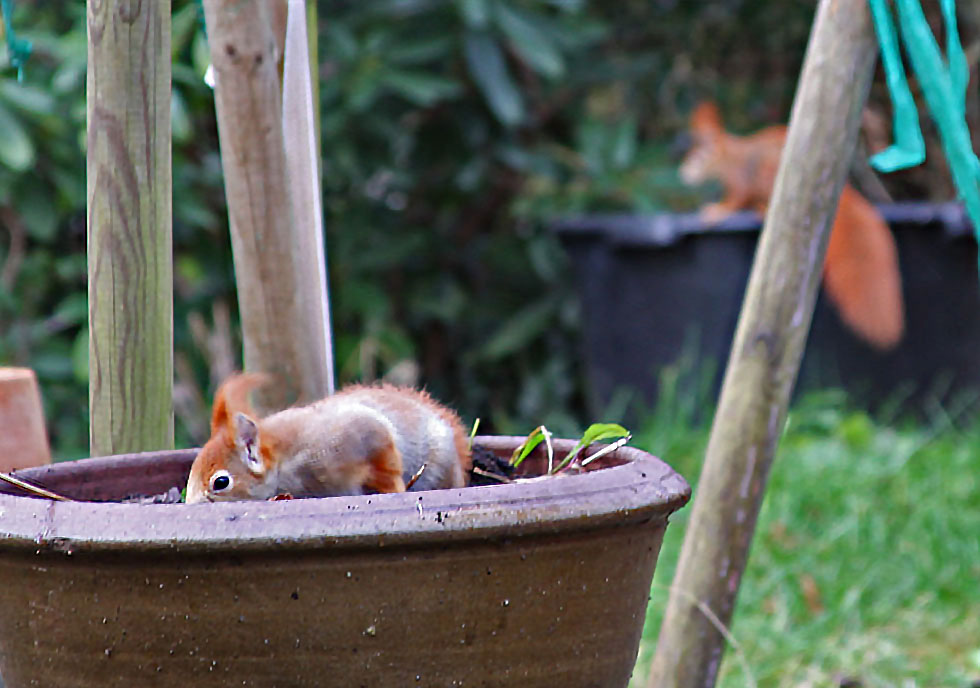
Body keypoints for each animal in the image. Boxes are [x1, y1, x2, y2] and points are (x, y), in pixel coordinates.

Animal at [189, 374, 474, 502]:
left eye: (221, 482)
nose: (192, 504)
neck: (286, 463)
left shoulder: (366, 433)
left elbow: (386, 466)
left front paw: (392, 490)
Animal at [680, 102, 904, 350]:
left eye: (695, 159)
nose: (682, 174)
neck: (727, 157)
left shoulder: (741, 179)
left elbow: (736, 199)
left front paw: (716, 211)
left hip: (768, 173)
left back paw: (762, 208)